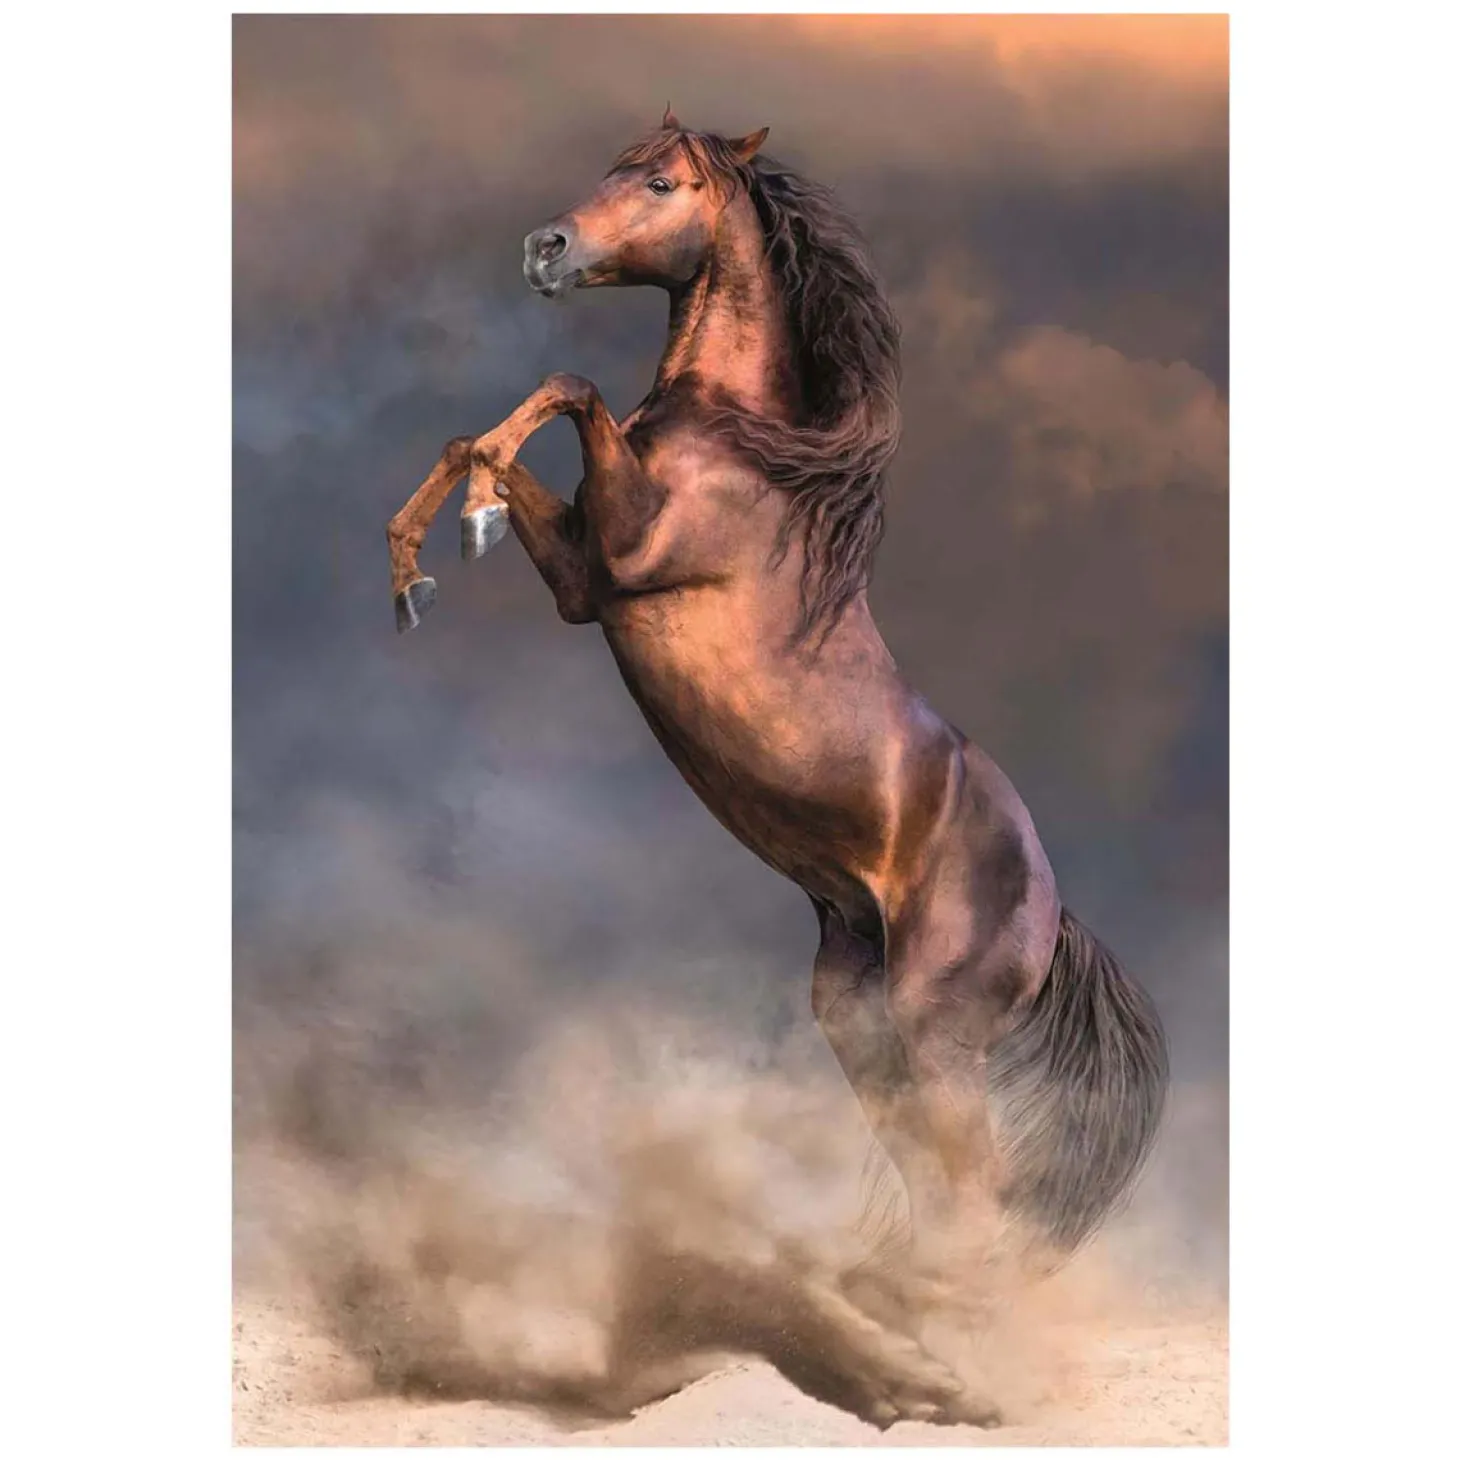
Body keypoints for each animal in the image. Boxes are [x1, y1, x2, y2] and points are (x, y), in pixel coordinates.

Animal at [384, 112, 1169, 1425]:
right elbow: (486, 433)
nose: (546, 248)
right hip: (859, 1022)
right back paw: (892, 1328)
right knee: (938, 1191)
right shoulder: (584, 577)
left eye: (659, 181)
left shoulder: (623, 552)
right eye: (607, 167)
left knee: (976, 1192)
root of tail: (1052, 910)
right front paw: (422, 561)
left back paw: (942, 1359)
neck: (738, 448)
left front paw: (463, 527)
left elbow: (568, 387)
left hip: (934, 1030)